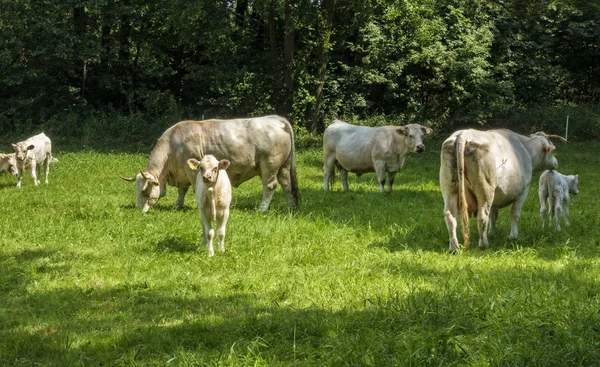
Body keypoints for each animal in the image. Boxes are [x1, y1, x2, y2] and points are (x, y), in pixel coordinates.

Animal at [120, 115, 298, 213]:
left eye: (144, 191)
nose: (138, 209)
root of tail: (276, 119)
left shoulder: (192, 170)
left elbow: (193, 188)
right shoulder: (182, 173)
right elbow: (182, 191)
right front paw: (177, 206)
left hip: (269, 164)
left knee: (270, 186)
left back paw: (262, 208)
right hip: (283, 166)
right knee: (286, 184)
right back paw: (290, 206)